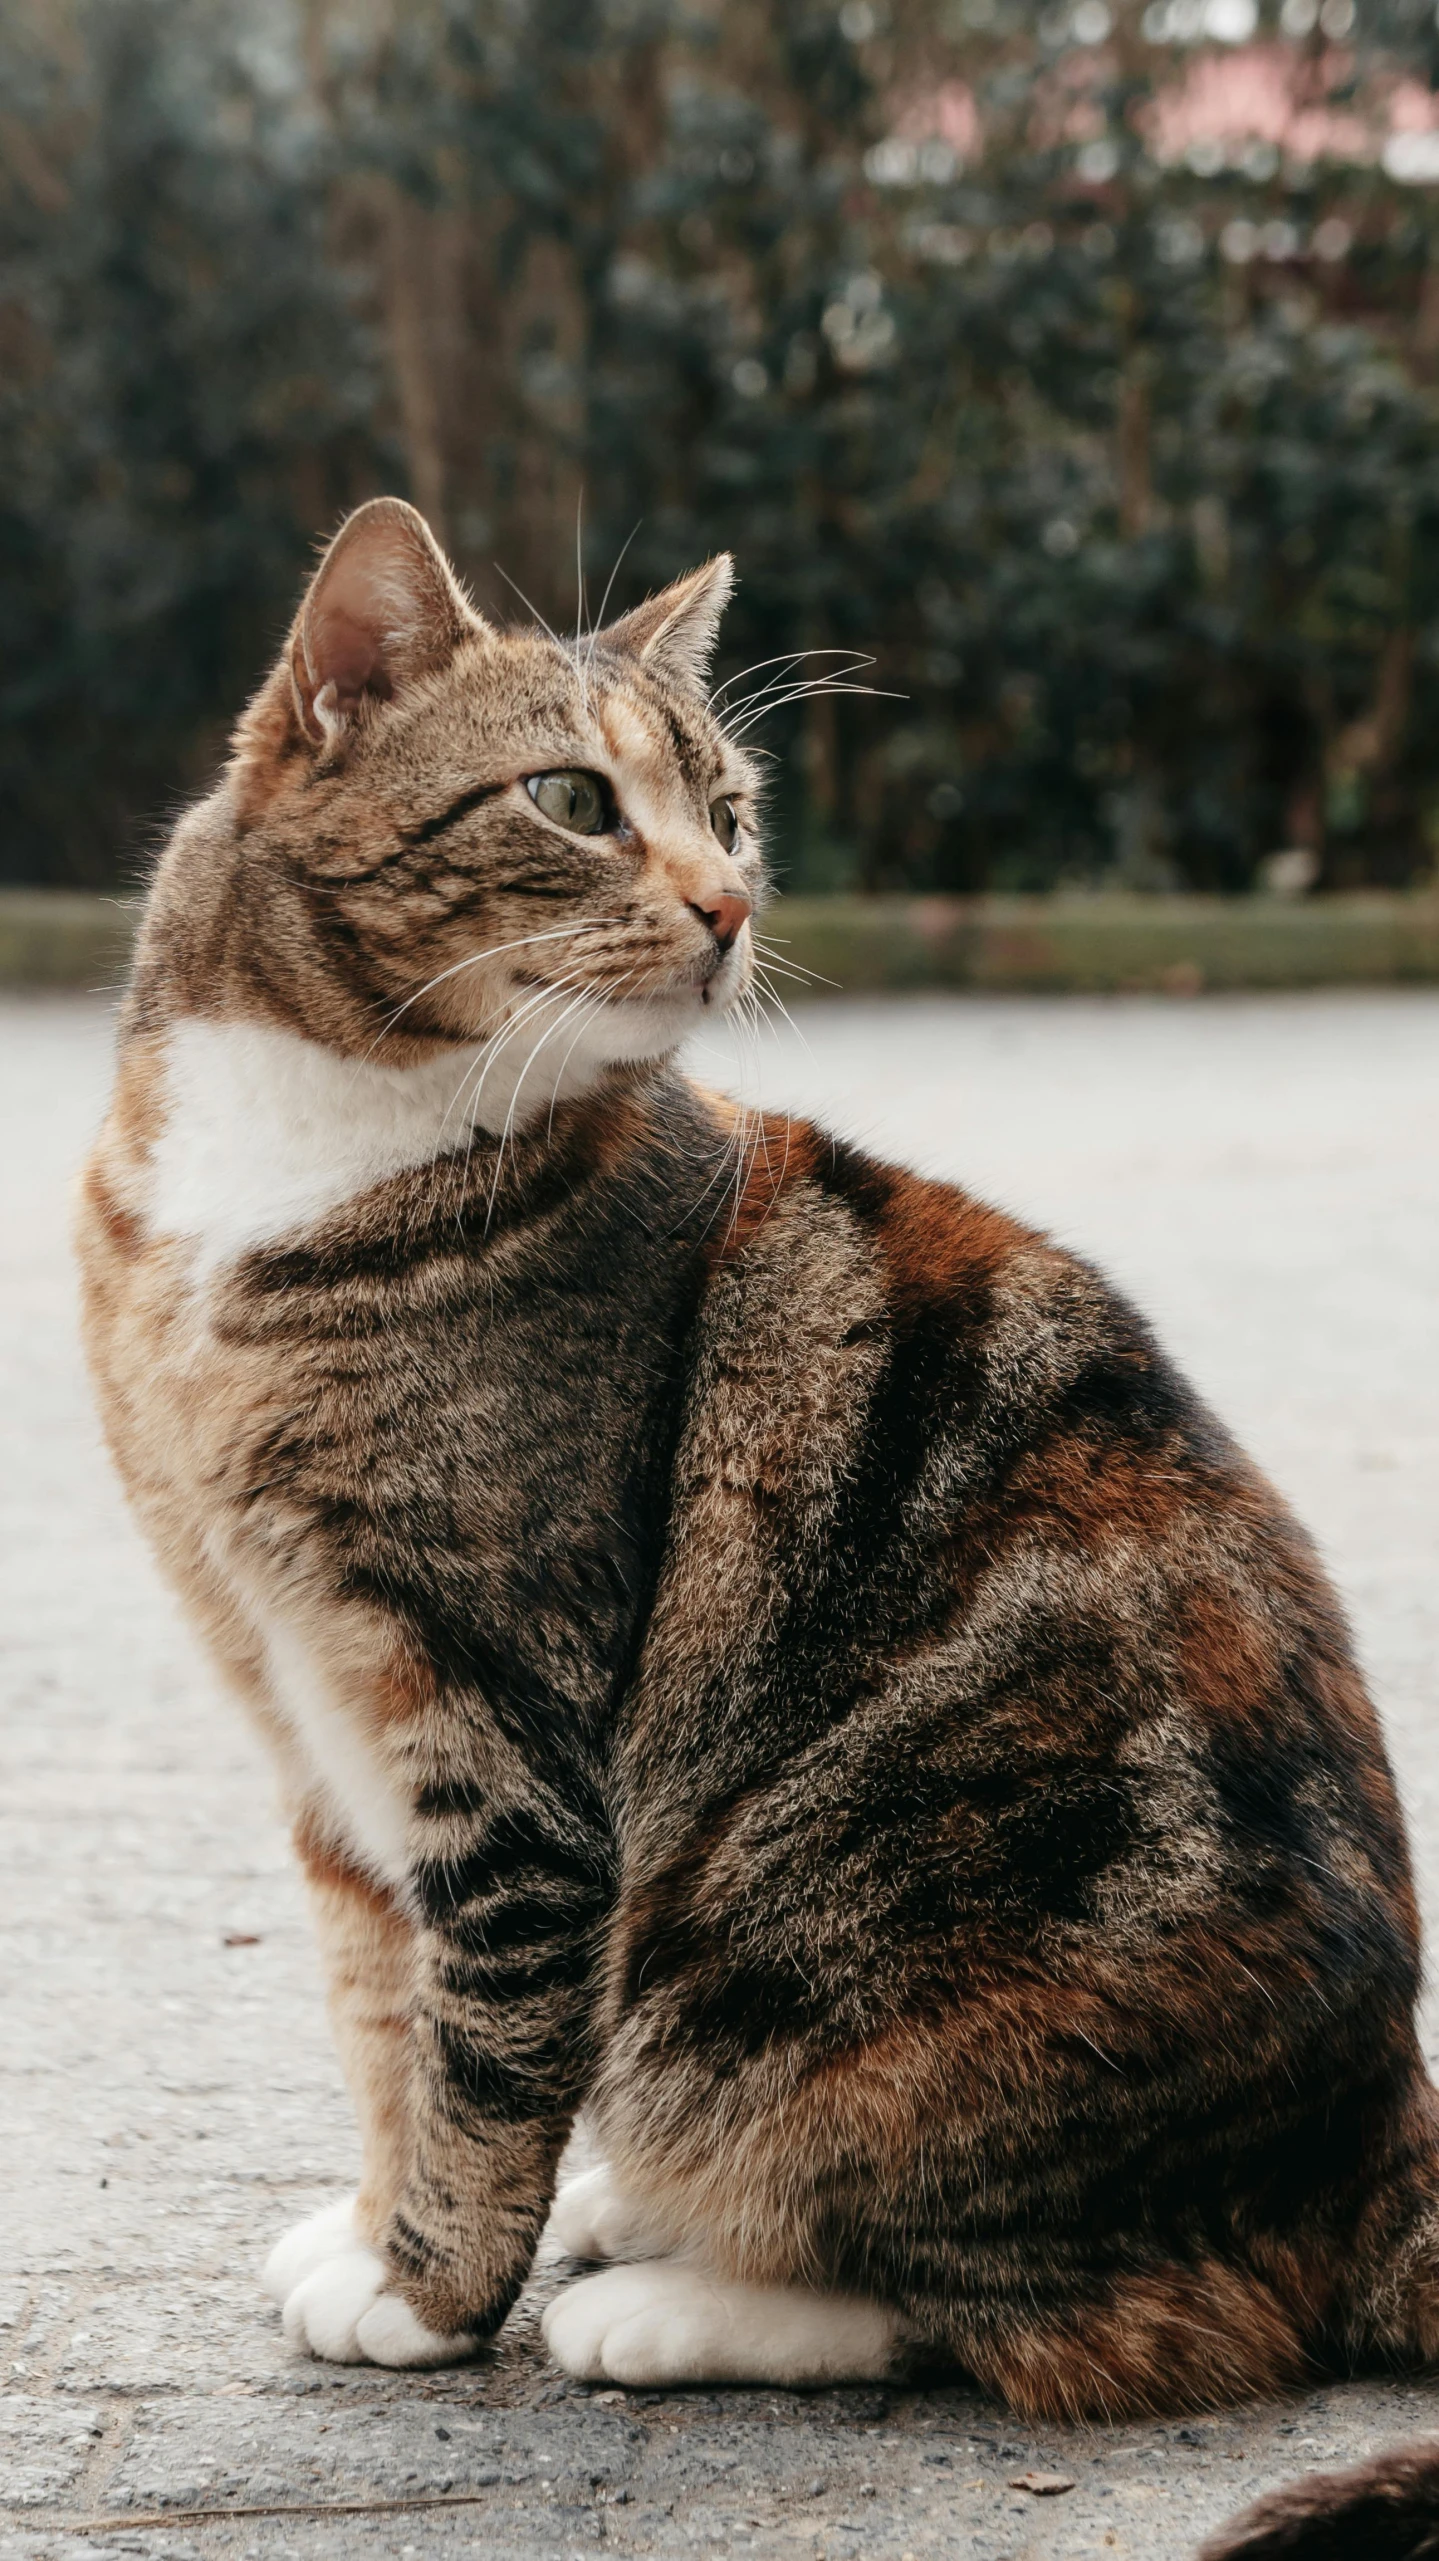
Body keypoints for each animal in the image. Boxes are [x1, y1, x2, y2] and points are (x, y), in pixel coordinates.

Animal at [75, 484, 1433, 2499]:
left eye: (722, 811)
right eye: (573, 799)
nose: (730, 907)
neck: (321, 1148)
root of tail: (1374, 2150)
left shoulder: (497, 1710)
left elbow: (483, 2025)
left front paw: (426, 2292)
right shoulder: (305, 1709)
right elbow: (377, 1998)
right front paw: (380, 2221)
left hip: (821, 1982)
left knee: (1076, 2317)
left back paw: (665, 2296)